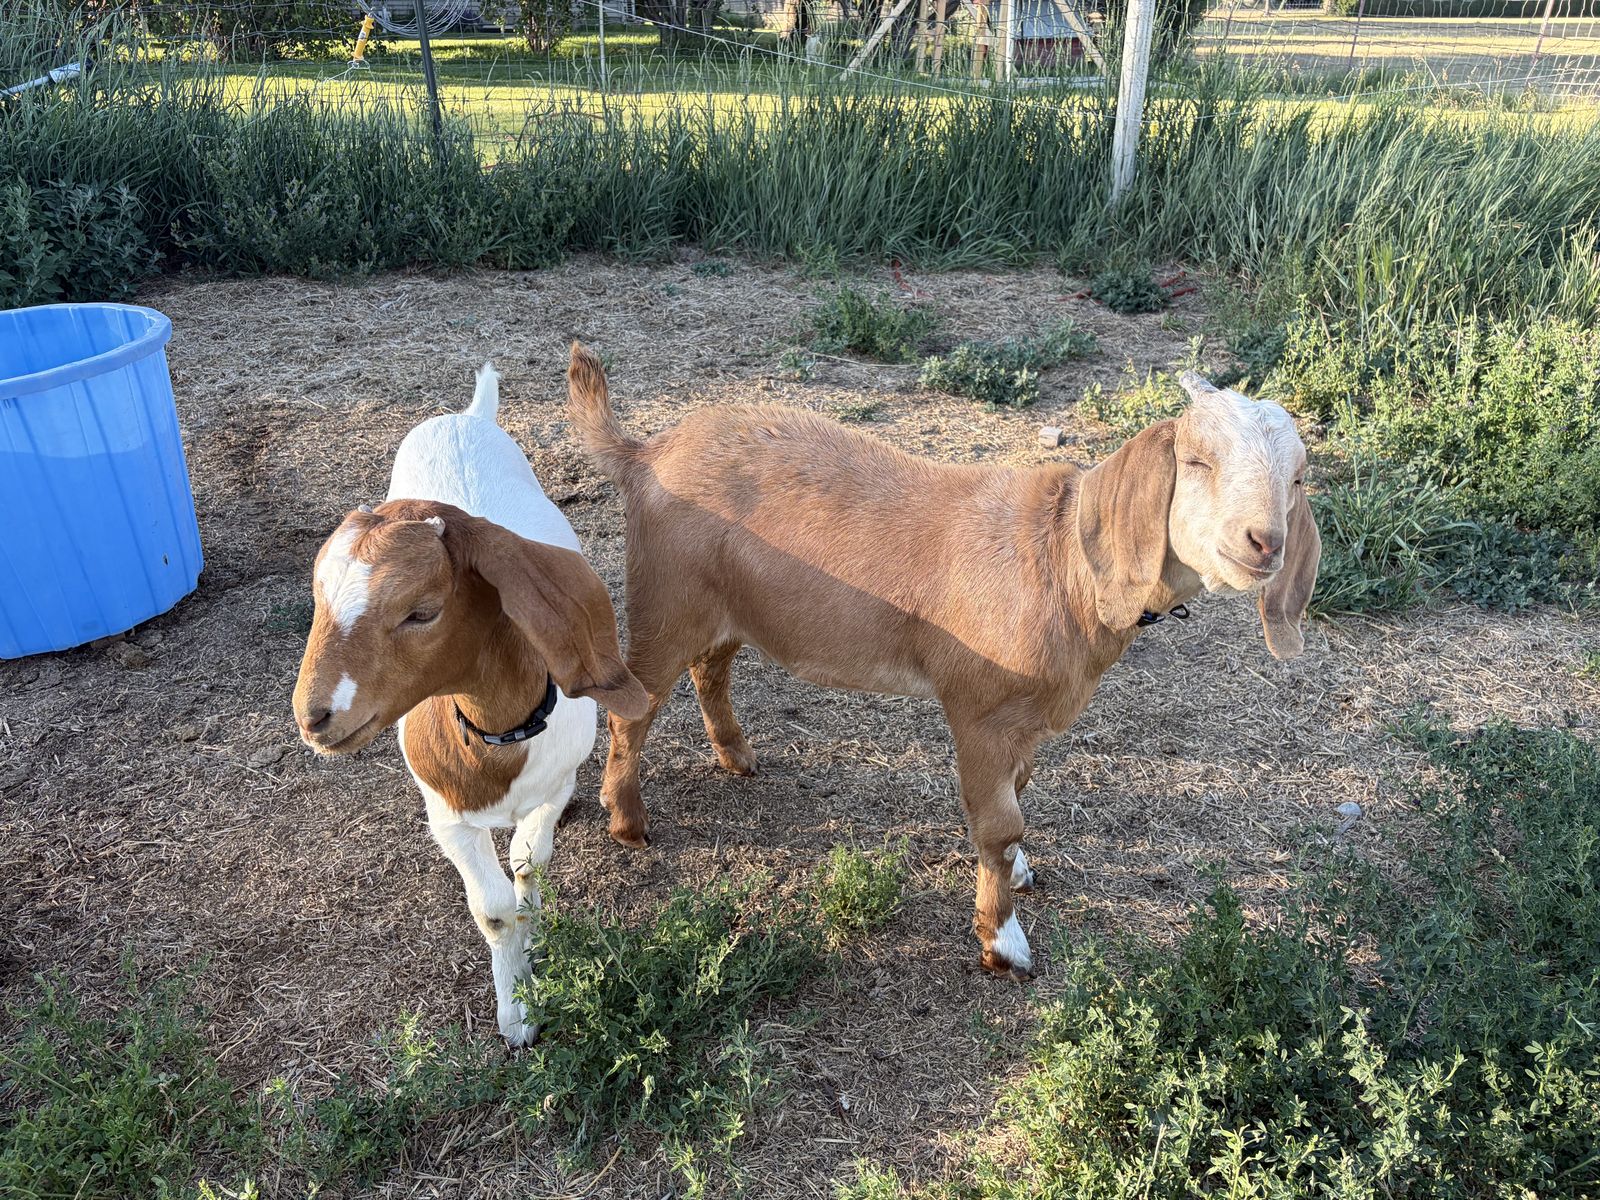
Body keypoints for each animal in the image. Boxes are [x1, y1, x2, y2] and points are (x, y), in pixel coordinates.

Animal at [292, 363, 646, 1045]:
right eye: (317, 596)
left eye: (421, 611)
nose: (313, 716)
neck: (499, 740)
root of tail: (468, 416)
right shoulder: (446, 817)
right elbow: (494, 910)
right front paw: (517, 1013)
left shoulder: (557, 784)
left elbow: (529, 870)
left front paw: (532, 965)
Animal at [565, 343, 1320, 980]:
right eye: (1198, 462)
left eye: (1296, 477)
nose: (1264, 542)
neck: (1063, 565)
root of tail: (645, 451)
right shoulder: (981, 712)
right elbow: (999, 822)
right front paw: (1002, 943)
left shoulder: (1026, 721)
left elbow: (1020, 794)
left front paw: (1018, 877)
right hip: (668, 598)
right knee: (636, 707)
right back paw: (628, 822)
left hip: (731, 605)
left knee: (711, 670)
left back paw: (736, 757)